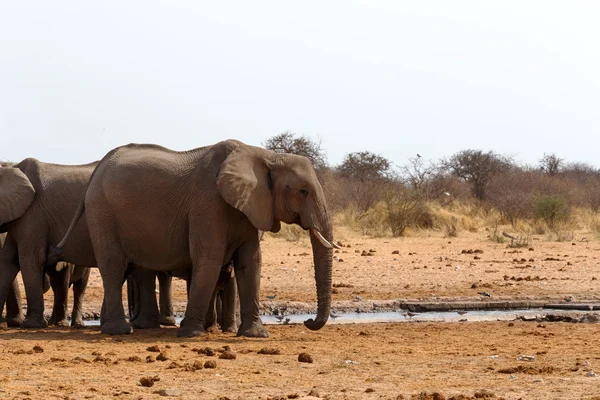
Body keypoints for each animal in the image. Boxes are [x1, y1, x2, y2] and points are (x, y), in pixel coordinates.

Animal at [54, 139, 338, 336]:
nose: (308, 322)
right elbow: (210, 259)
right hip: (102, 211)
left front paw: (256, 335)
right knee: (113, 266)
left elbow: (250, 264)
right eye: (303, 191)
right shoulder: (207, 203)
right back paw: (121, 331)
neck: (266, 156)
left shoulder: (251, 207)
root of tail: (98, 167)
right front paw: (191, 333)